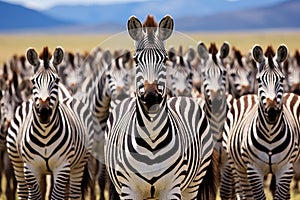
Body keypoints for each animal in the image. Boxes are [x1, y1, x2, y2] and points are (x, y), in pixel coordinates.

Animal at [6, 46, 94, 198]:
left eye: (57, 81)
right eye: (33, 81)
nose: (44, 112)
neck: (44, 133)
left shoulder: (62, 166)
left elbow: (56, 196)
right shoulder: (30, 167)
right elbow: (35, 196)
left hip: (80, 163)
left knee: (74, 192)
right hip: (16, 160)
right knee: (22, 190)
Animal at [104, 14, 214, 199]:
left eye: (164, 59)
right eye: (136, 60)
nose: (151, 96)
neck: (152, 138)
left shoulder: (172, 188)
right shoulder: (128, 189)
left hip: (194, 183)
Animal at [223, 44, 300, 200]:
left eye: (282, 79)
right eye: (259, 80)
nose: (271, 112)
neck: (270, 134)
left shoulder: (286, 168)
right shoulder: (253, 169)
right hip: (237, 167)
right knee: (243, 192)